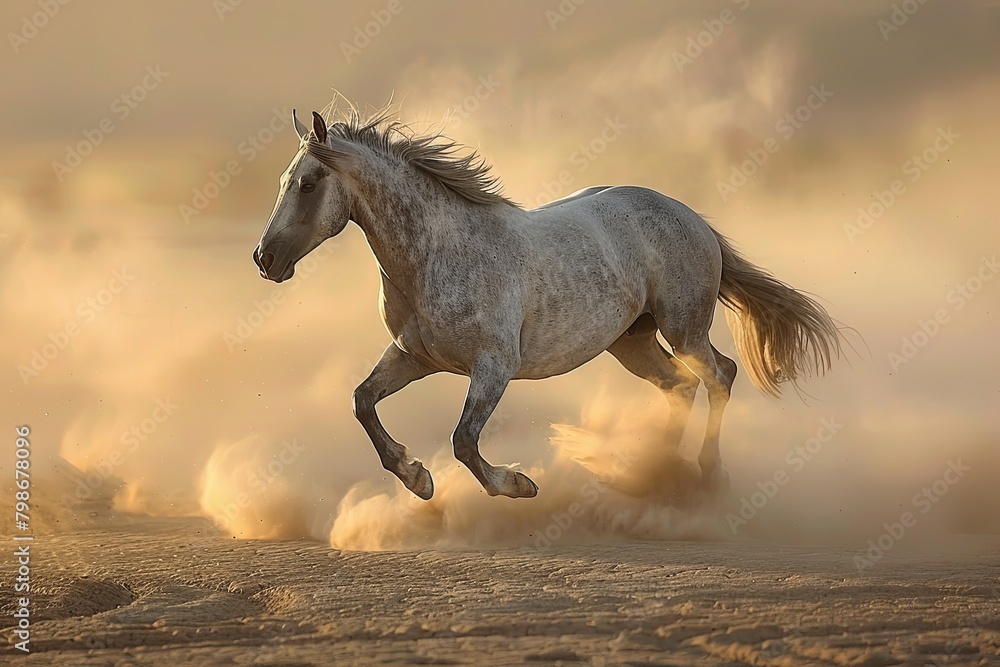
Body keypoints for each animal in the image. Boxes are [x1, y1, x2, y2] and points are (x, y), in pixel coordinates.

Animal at [252, 107, 841, 501]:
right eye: (282, 180)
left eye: (308, 183)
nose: (264, 258)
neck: (435, 255)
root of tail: (694, 218)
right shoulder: (414, 357)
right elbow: (362, 402)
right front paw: (417, 478)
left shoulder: (495, 365)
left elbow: (464, 440)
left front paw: (516, 483)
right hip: (631, 342)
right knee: (681, 384)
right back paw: (654, 471)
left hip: (684, 327)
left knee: (719, 375)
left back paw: (707, 473)